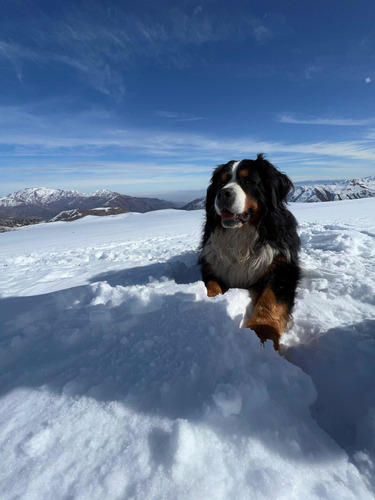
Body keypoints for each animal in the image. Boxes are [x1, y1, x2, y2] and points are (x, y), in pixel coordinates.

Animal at [200, 154, 302, 350]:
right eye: (220, 182)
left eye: (248, 181)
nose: (223, 193)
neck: (241, 236)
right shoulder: (212, 265)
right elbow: (212, 287)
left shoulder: (283, 268)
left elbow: (270, 299)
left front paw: (262, 334)